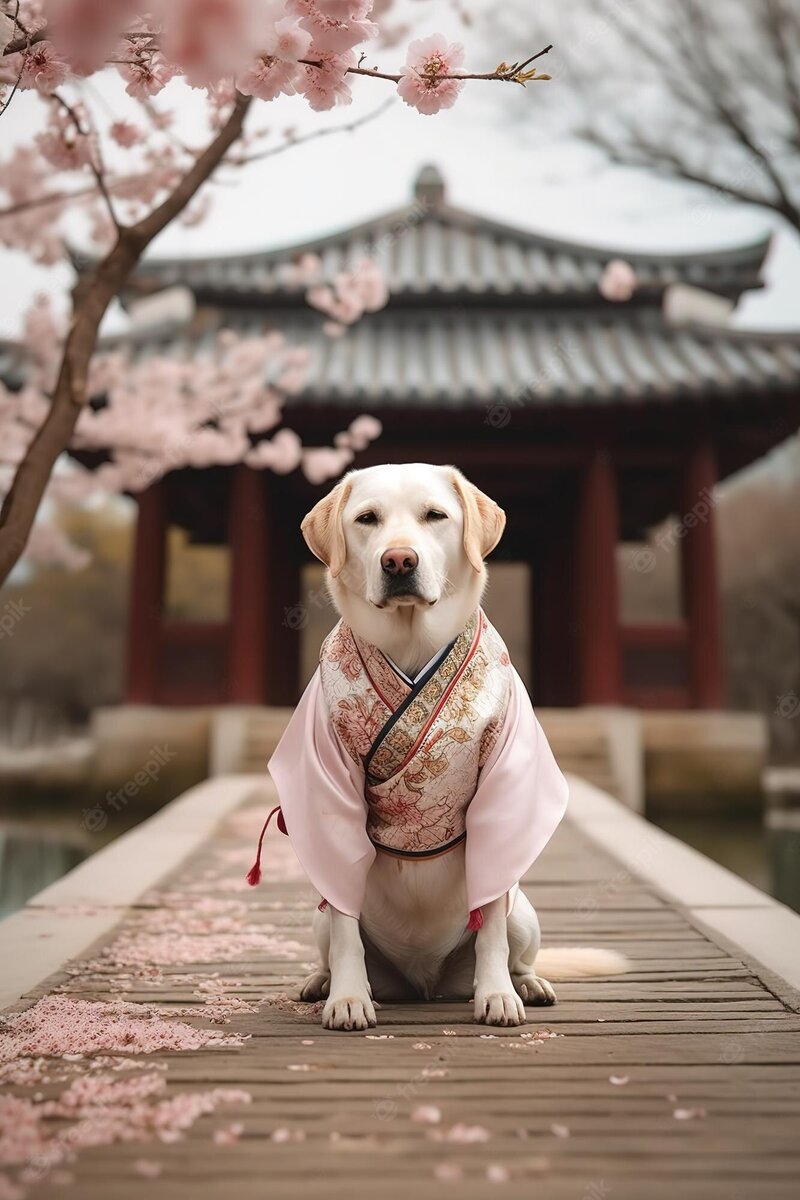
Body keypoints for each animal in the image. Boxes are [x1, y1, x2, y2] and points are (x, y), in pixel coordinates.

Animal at [262, 463, 623, 1027]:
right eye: (367, 519)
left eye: (435, 515)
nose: (398, 560)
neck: (412, 646)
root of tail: (424, 984)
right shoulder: (326, 779)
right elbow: (345, 926)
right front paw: (348, 997)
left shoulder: (503, 782)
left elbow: (491, 927)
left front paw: (497, 995)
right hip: (317, 918)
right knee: (329, 936)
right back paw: (319, 982)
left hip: (526, 914)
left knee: (516, 945)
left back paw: (528, 983)